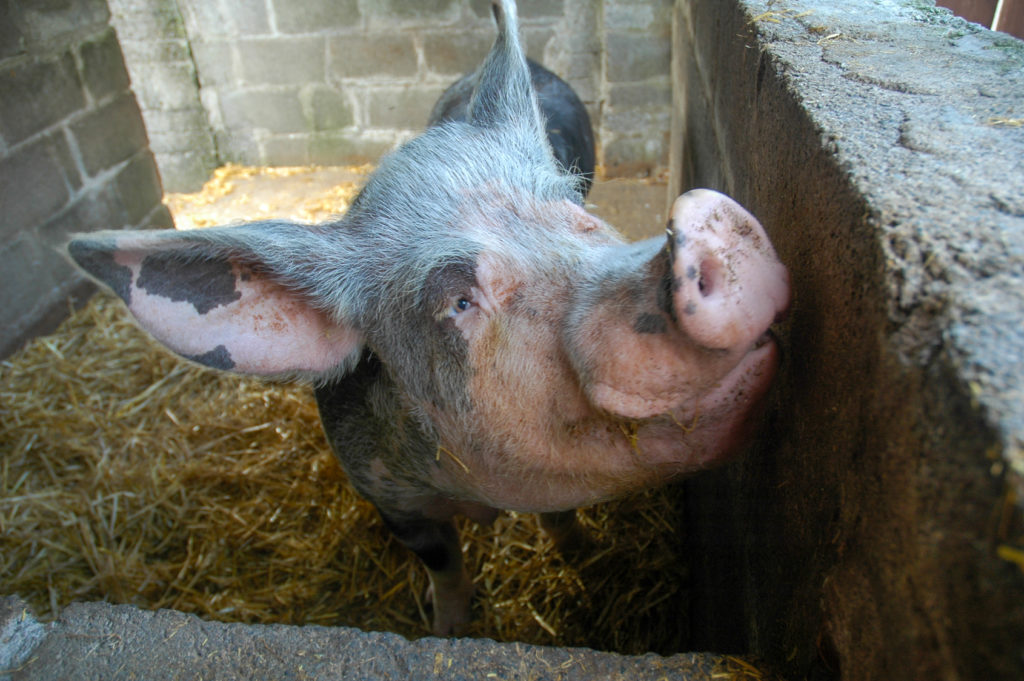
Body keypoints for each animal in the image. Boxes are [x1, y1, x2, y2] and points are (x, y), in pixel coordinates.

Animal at [66, 0, 791, 637]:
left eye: (577, 217)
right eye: (459, 303)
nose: (702, 221)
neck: (467, 491)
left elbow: (559, 520)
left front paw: (586, 560)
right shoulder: (387, 496)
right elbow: (443, 563)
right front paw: (445, 632)